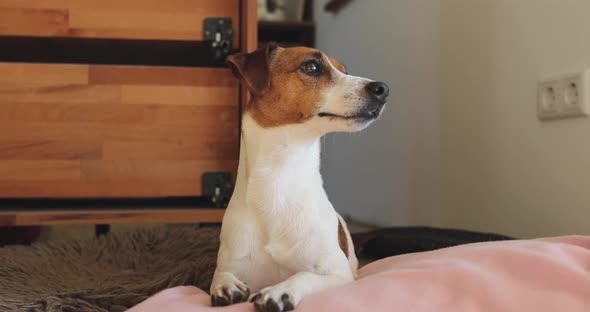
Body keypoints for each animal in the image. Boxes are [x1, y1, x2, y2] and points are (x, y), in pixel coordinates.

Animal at [212, 42, 388, 312]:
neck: (278, 180)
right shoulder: (233, 263)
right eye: (312, 67)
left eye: (344, 70)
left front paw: (279, 291)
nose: (383, 89)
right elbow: (220, 274)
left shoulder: (338, 274)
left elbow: (304, 275)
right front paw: (226, 285)